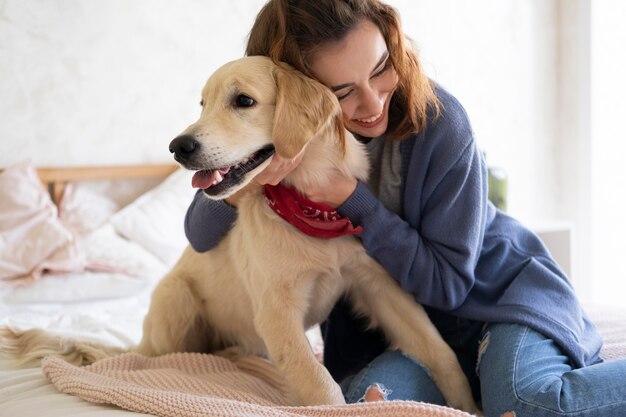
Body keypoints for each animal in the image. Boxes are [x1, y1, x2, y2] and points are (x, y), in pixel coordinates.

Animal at [1, 56, 472, 412]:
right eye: (202, 103)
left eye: (243, 101)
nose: (178, 146)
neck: (306, 205)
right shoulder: (277, 313)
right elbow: (321, 383)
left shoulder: (377, 283)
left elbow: (440, 350)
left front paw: (469, 401)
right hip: (176, 299)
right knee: (163, 356)